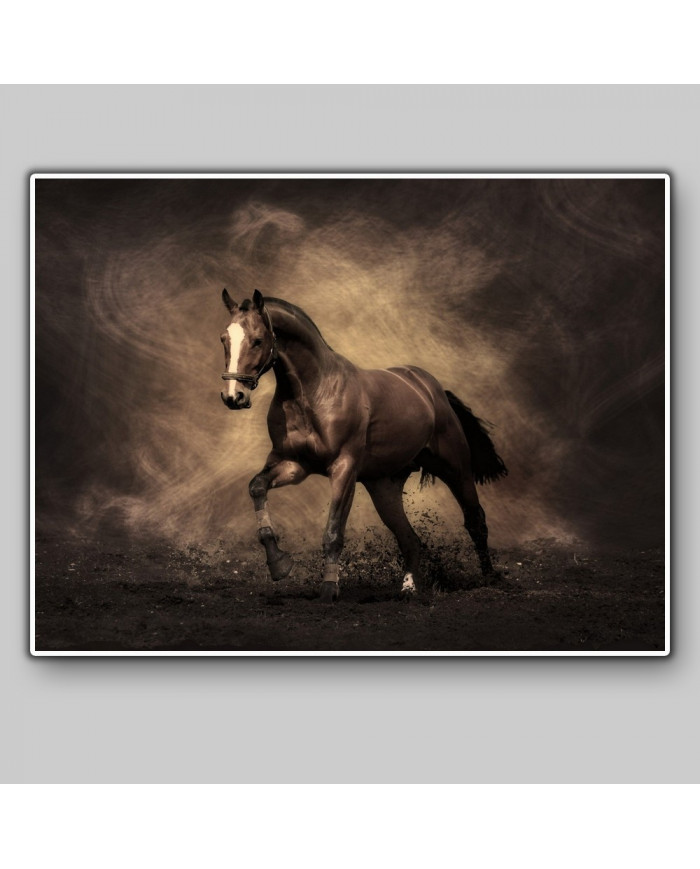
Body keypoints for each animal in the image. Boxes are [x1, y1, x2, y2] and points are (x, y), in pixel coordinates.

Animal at [219, 288, 507, 603]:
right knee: (409, 538)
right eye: (224, 339)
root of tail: (432, 390)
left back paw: (490, 579)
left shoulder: (344, 469)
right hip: (384, 487)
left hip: (456, 469)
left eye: (258, 340)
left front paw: (329, 590)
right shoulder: (294, 464)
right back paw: (409, 589)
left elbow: (333, 532)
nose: (233, 396)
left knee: (475, 521)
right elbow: (257, 487)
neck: (314, 393)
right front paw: (279, 564)